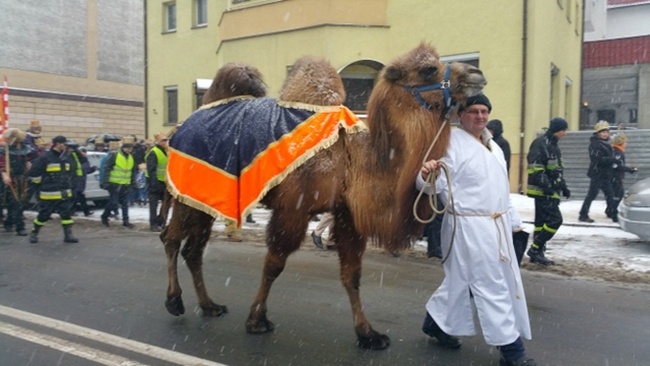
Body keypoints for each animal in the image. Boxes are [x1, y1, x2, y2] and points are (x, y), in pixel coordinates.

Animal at [162, 44, 486, 350]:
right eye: (428, 68)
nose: (476, 74)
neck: (355, 159)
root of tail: (180, 129)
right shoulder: (293, 207)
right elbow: (274, 264)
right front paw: (257, 320)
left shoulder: (346, 214)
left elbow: (352, 275)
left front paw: (368, 334)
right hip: (187, 193)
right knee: (172, 238)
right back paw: (175, 302)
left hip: (209, 198)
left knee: (194, 249)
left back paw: (209, 305)